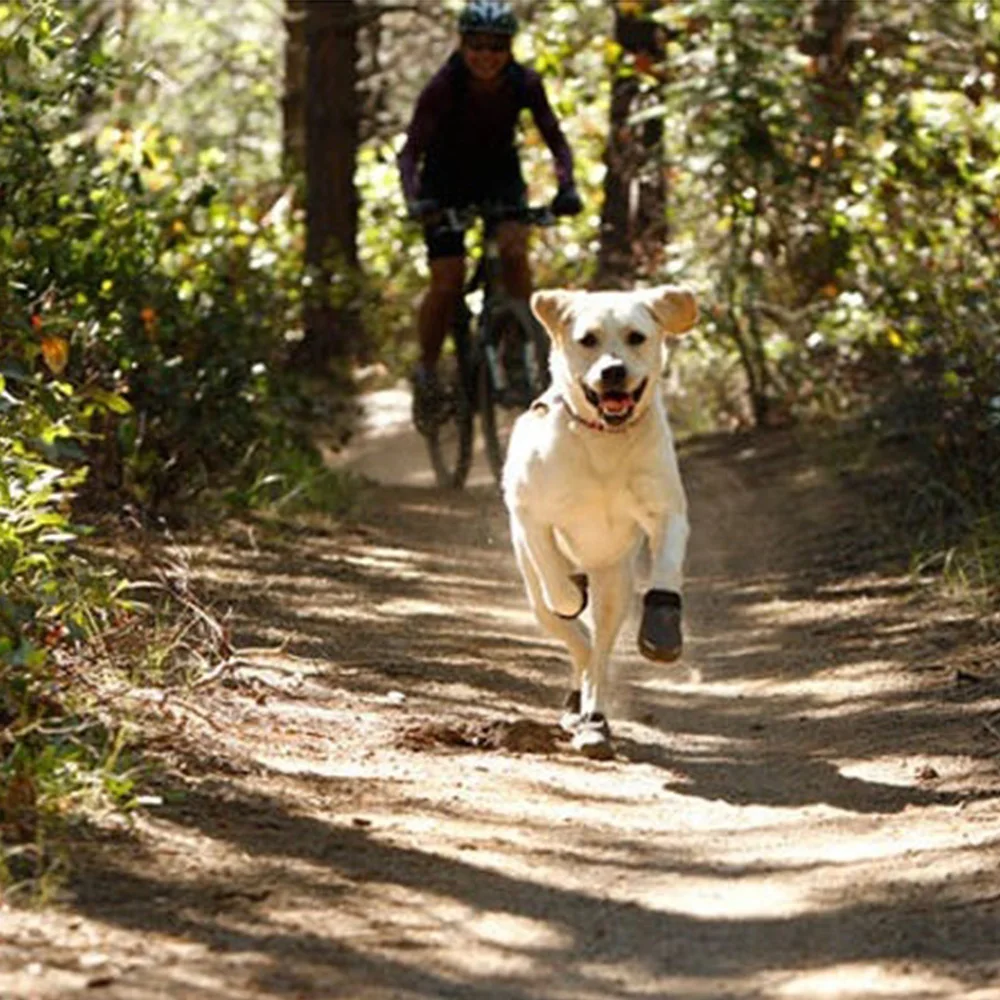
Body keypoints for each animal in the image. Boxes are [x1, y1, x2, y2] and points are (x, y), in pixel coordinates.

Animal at [500, 284, 696, 756]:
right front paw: (570, 592)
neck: (605, 438)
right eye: (587, 339)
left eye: (636, 337)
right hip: (536, 600)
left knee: (599, 656)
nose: (613, 372)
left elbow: (667, 566)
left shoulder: (667, 511)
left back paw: (593, 719)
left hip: (614, 585)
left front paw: (663, 630)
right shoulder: (529, 513)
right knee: (577, 640)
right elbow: (554, 574)